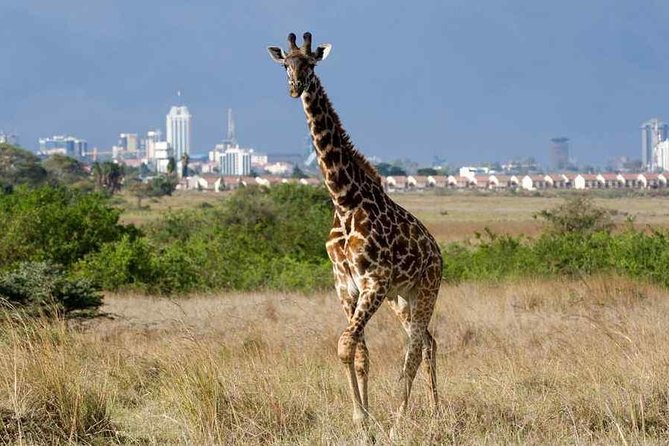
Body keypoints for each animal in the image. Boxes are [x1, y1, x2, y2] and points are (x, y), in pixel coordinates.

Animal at [267, 32, 443, 425]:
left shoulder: (374, 281)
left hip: (426, 289)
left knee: (415, 348)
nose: (294, 87)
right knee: (428, 341)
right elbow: (358, 353)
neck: (344, 200)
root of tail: (438, 252)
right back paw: (435, 411)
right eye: (286, 63)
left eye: (310, 63)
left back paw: (402, 422)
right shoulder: (345, 285)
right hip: (401, 298)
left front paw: (370, 422)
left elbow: (345, 345)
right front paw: (364, 423)